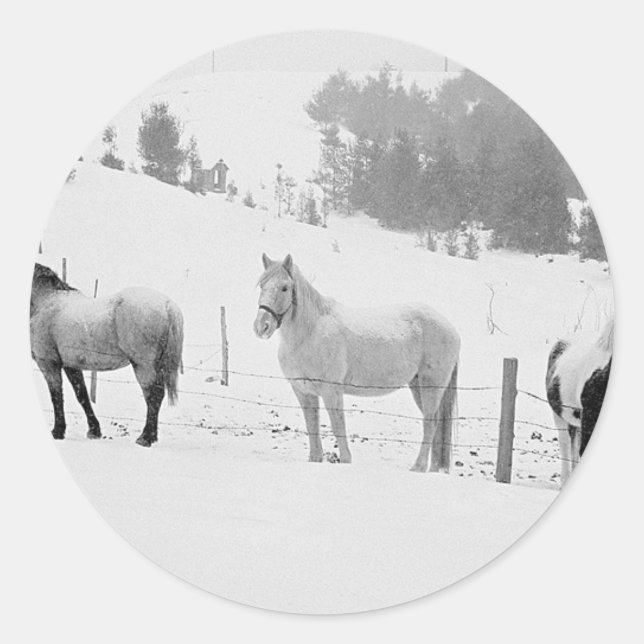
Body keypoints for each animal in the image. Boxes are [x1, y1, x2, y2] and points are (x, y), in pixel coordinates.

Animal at [30, 263, 184, 447]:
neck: (46, 300)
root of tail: (168, 304)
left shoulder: (48, 363)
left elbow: (56, 396)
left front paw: (57, 431)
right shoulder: (71, 365)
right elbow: (82, 395)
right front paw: (94, 430)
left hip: (143, 366)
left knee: (154, 396)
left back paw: (145, 438)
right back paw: (151, 436)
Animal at [253, 254, 460, 472]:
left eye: (284, 287)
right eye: (262, 285)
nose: (262, 326)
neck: (309, 334)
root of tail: (451, 329)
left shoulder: (331, 391)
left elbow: (338, 425)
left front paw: (346, 460)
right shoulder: (304, 391)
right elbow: (312, 425)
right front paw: (315, 459)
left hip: (431, 385)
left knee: (430, 423)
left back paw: (418, 467)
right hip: (417, 385)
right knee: (436, 424)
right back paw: (434, 469)